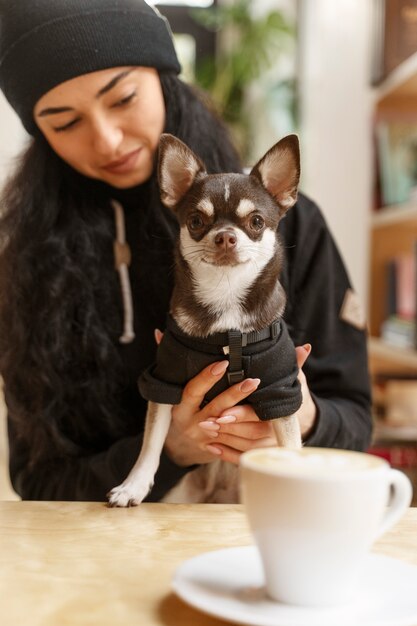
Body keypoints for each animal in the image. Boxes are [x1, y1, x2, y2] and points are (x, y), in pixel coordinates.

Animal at [107, 134, 302, 504]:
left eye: (256, 222)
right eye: (197, 221)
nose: (225, 235)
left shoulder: (280, 391)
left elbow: (290, 446)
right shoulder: (163, 382)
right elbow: (151, 443)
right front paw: (133, 485)